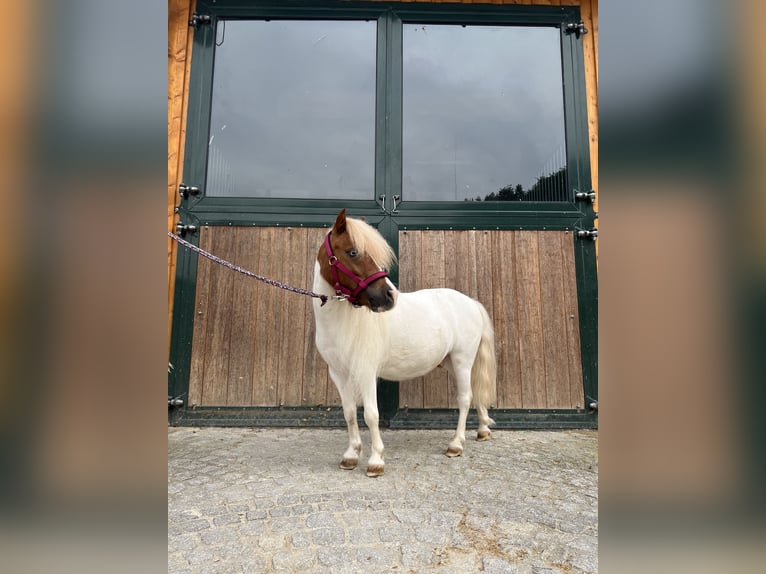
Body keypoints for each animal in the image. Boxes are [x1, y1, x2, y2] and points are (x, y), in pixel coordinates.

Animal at [312, 209, 498, 480]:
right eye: (353, 252)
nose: (389, 297)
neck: (344, 322)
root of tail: (471, 302)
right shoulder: (339, 374)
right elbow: (349, 413)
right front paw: (351, 455)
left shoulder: (366, 372)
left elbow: (371, 414)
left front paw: (375, 461)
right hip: (451, 362)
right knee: (474, 391)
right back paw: (483, 429)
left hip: (462, 360)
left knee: (465, 397)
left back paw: (456, 444)